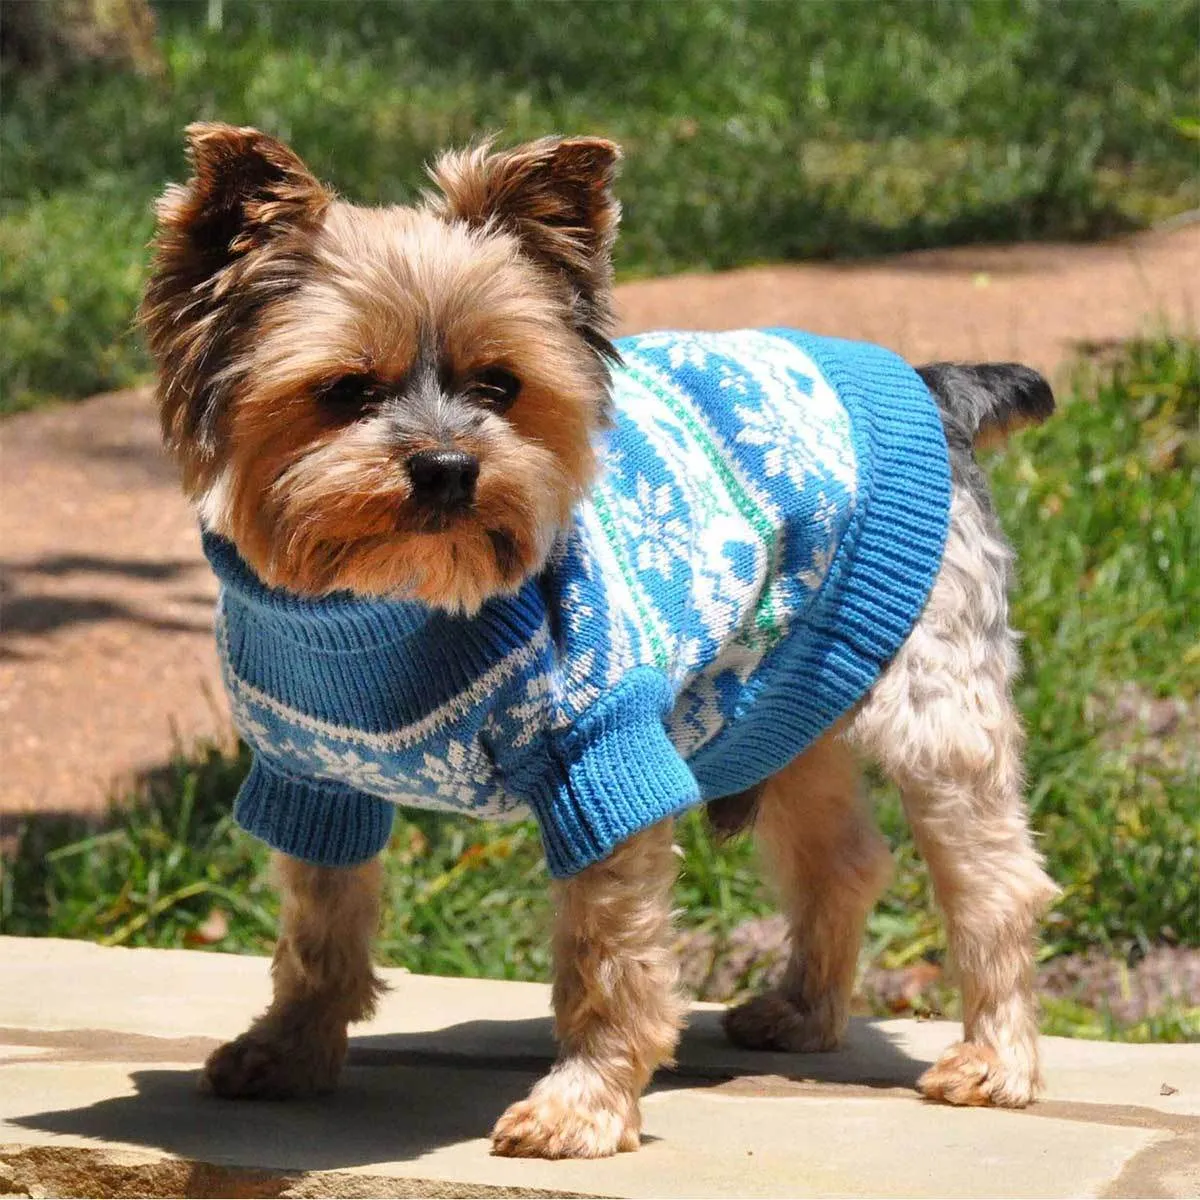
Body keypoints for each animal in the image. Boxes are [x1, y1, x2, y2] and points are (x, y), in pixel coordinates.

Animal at [140, 124, 1060, 1161]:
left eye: (501, 385)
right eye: (343, 391)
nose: (450, 467)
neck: (392, 602)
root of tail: (936, 385)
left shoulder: (602, 757)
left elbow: (606, 958)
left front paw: (581, 1106)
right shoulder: (315, 776)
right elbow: (318, 932)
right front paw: (290, 1053)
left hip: (931, 701)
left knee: (997, 882)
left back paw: (996, 1061)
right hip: (779, 693)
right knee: (845, 860)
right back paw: (802, 1013)